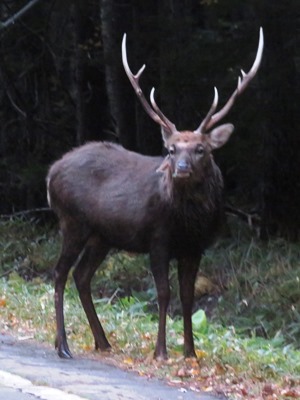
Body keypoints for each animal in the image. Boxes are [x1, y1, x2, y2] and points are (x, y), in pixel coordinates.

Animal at [46, 27, 262, 360]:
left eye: (201, 149)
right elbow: (164, 293)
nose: (180, 169)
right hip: (73, 222)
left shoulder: (195, 247)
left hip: (102, 235)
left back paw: (102, 341)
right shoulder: (157, 238)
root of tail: (51, 173)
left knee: (82, 276)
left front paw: (190, 352)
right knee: (59, 274)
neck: (189, 223)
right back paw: (64, 346)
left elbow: (188, 296)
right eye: (171, 149)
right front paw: (161, 351)